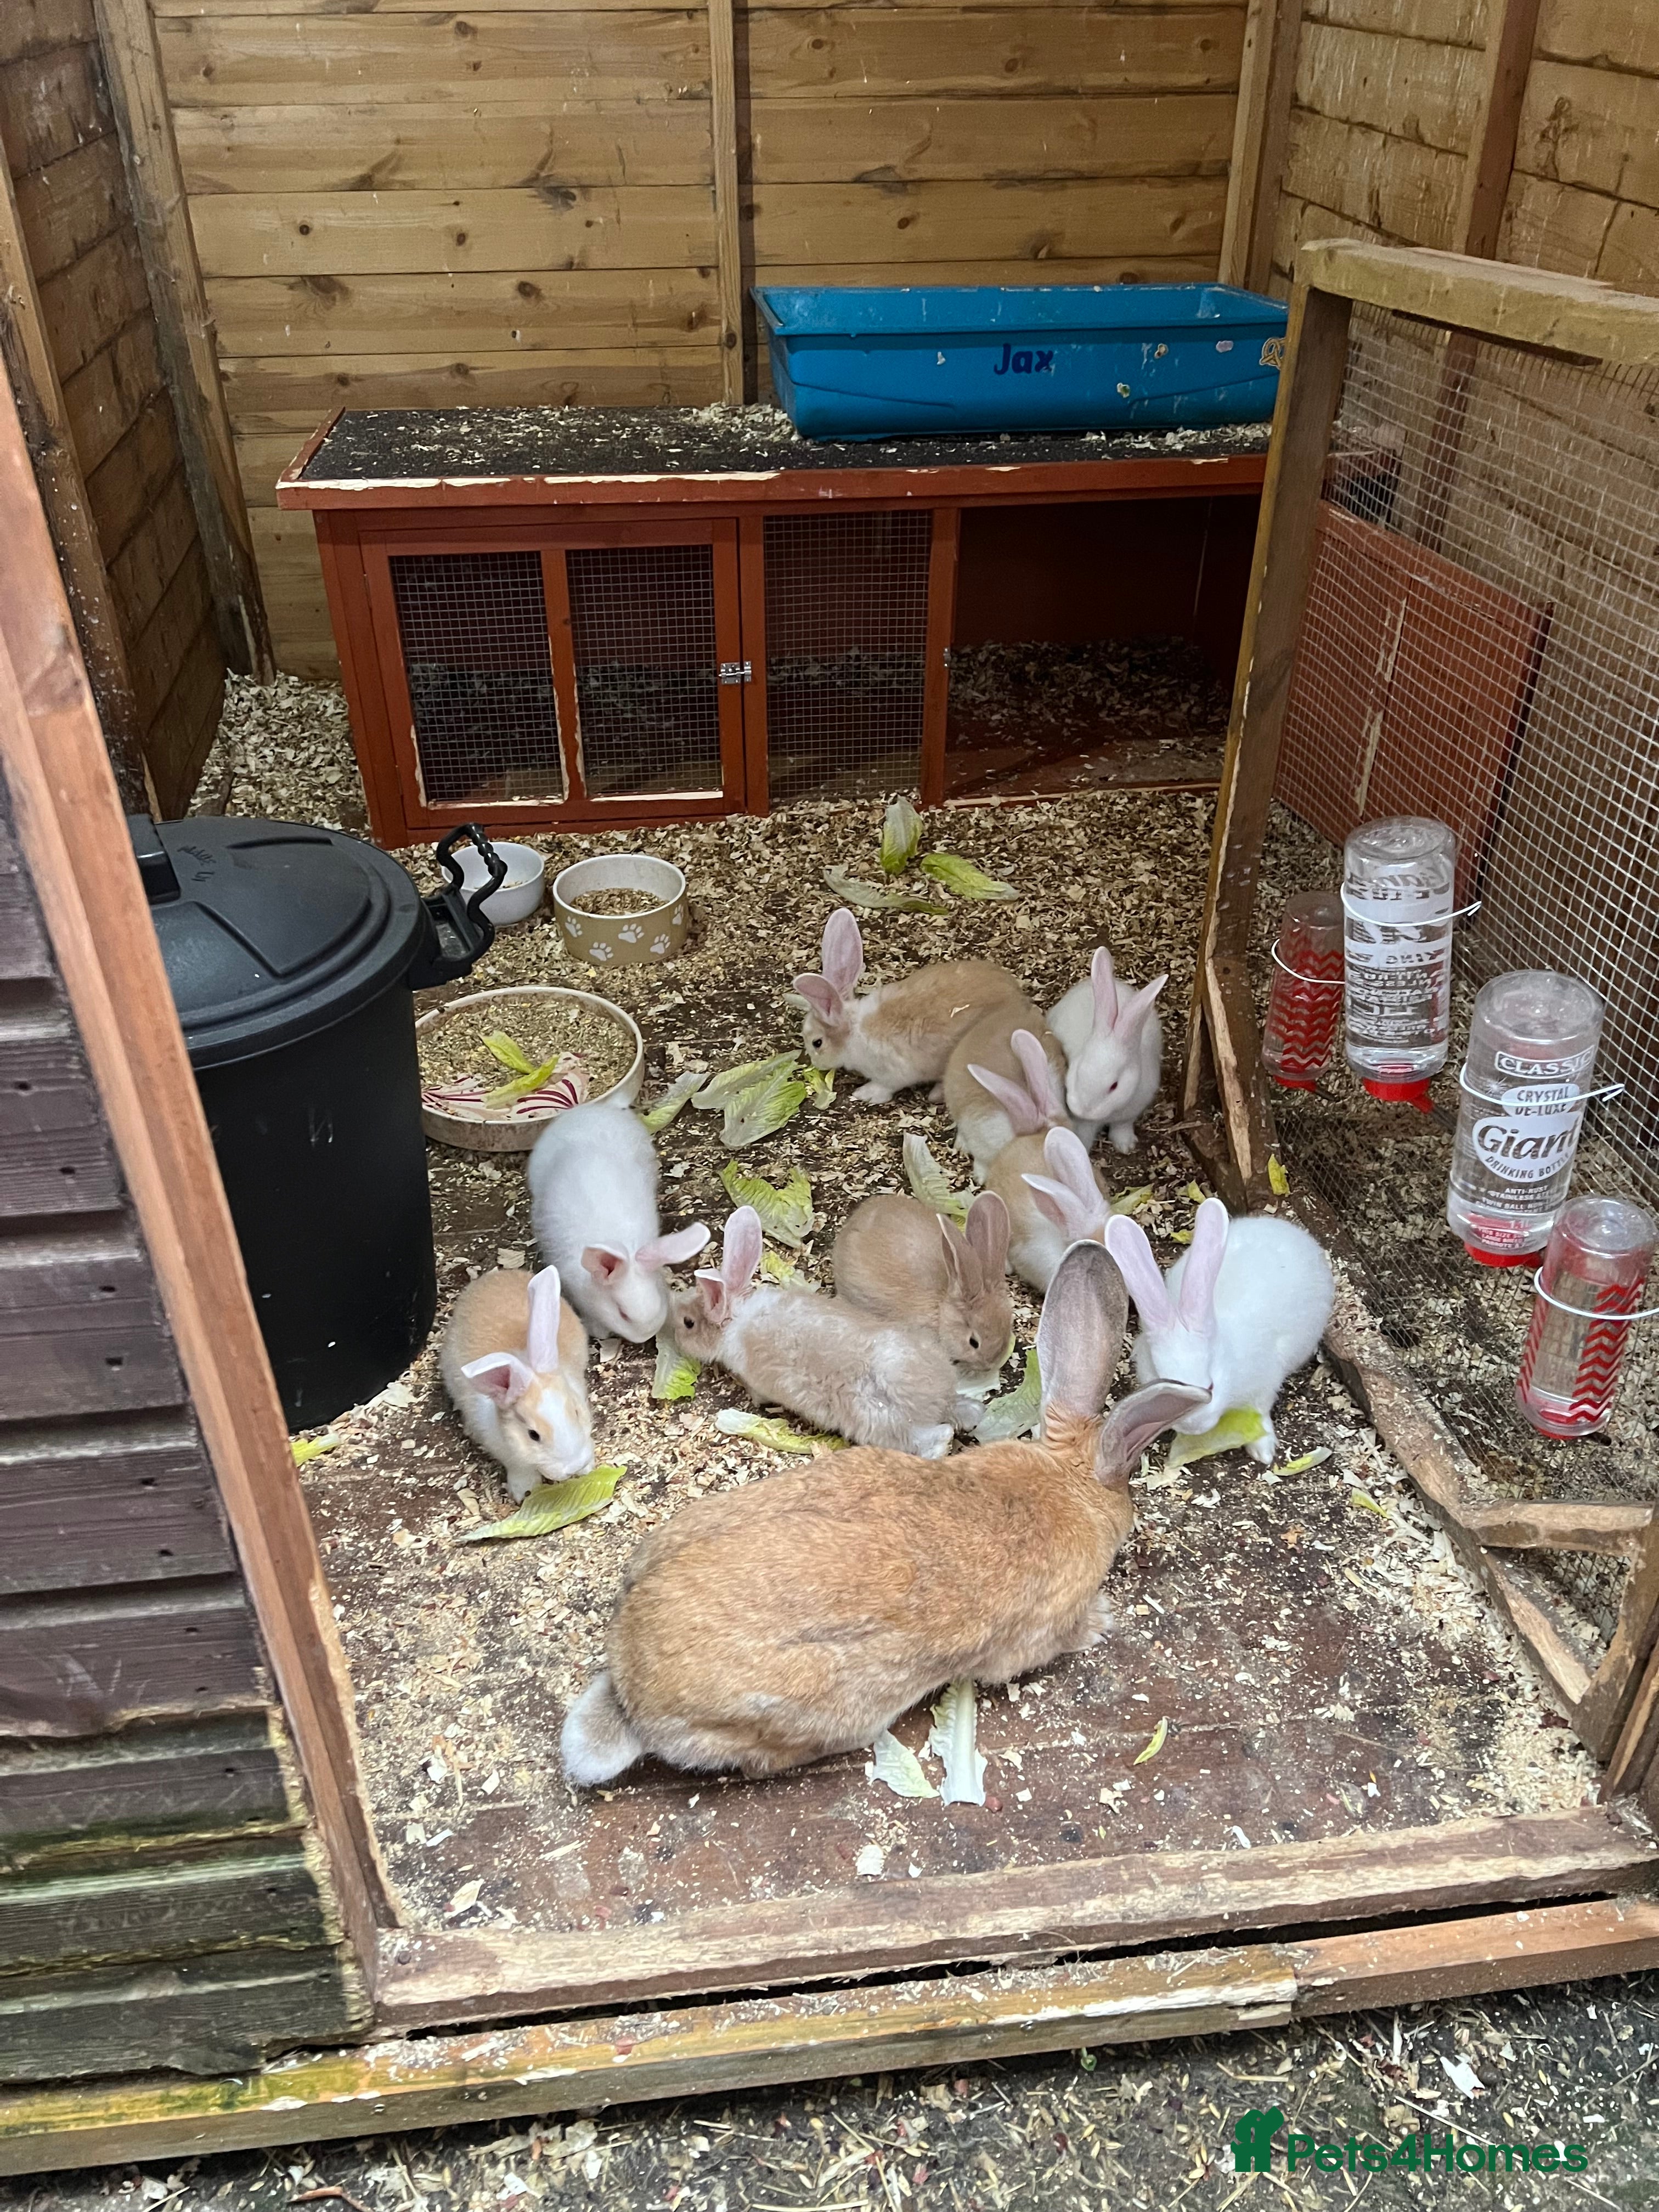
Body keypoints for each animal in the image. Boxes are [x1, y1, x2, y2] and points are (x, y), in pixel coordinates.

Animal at [440, 1265, 594, 1501]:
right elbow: (521, 1470)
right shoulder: (510, 1457)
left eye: (577, 1412)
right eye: (533, 1435)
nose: (575, 1466)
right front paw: (524, 1492)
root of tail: (494, 1275)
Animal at [668, 1206, 972, 1459]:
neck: (735, 1320)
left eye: (688, 1323)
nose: (672, 1330)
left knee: (936, 1436)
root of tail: (938, 1395)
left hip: (880, 1422)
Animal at [792, 907, 1025, 1104]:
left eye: (817, 1043)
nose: (816, 1064)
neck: (853, 1030)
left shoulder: (891, 1074)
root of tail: (1019, 998)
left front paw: (865, 1094)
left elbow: (885, 1087)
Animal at [1048, 946, 1167, 1154]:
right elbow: (1084, 1134)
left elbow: (1122, 1127)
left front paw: (1126, 1146)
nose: (1083, 1109)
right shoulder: (1084, 1122)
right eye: (1077, 1071)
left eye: (1114, 1086)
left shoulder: (1129, 1115)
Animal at [1105, 1198, 1335, 1466]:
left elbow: (1261, 1413)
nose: (1193, 1427)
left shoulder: (1264, 1383)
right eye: (1162, 1382)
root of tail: (1288, 1229)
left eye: (1211, 1387)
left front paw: (1264, 1452)